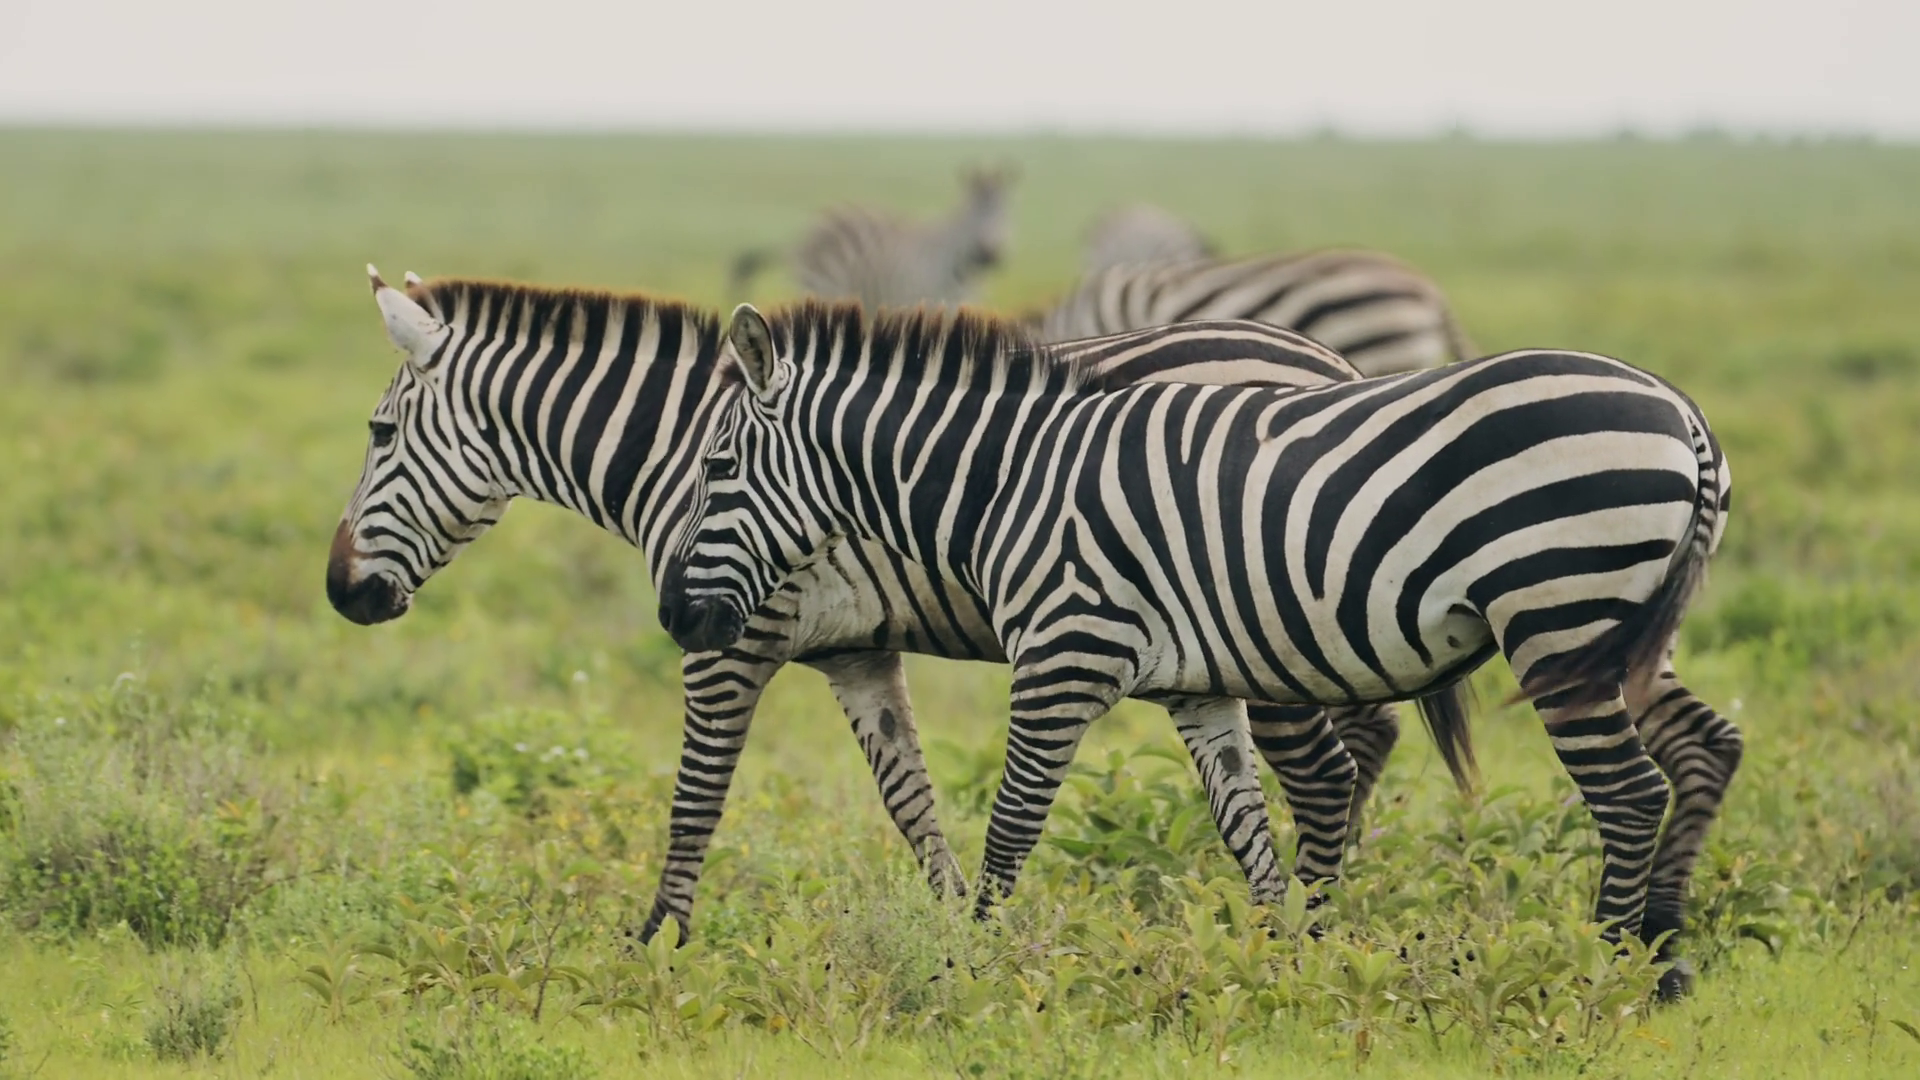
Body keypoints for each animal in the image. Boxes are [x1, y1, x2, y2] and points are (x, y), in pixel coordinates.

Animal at [325, 267, 1464, 946]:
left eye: (378, 433)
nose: (342, 594)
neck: (687, 456)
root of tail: (1326, 358)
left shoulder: (729, 643)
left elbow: (696, 799)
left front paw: (659, 947)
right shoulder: (854, 652)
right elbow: (909, 801)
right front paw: (954, 930)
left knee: (1330, 766)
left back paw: (1316, 919)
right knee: (1358, 745)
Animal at [660, 301, 1739, 1000]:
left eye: (716, 466)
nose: (675, 616)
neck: (1007, 478)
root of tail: (1683, 412)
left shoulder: (1063, 656)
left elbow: (1010, 830)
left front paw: (970, 969)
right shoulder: (1199, 686)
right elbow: (1247, 831)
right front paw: (1278, 969)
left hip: (1558, 617)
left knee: (1627, 794)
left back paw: (1604, 970)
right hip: (1621, 631)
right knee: (1690, 755)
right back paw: (1662, 956)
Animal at [728, 166, 1016, 309]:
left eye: (1006, 213)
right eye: (973, 213)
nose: (990, 255)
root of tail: (802, 235)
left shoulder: (960, 305)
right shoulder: (915, 300)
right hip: (822, 287)